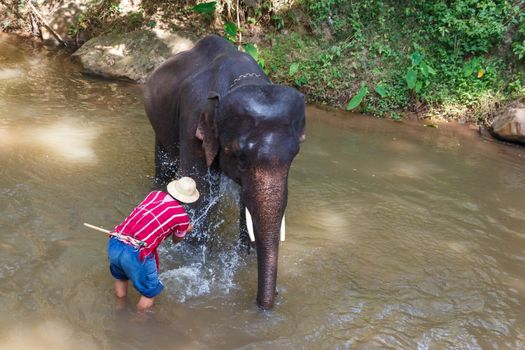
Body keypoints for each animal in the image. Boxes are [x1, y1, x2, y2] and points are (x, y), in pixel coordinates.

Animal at [144, 34, 308, 308]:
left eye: (294, 156)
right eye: (240, 158)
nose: (273, 297)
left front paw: (245, 255)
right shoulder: (193, 120)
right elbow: (200, 191)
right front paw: (193, 256)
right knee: (164, 164)